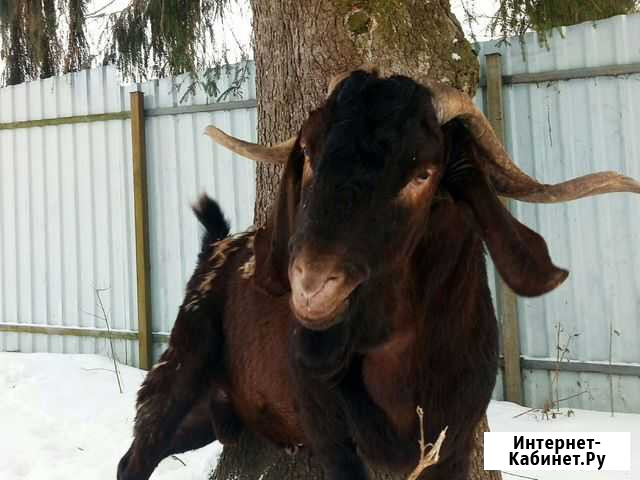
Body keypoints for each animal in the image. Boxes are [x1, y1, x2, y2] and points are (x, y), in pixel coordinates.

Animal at [116, 68, 640, 480]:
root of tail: (215, 250)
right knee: (135, 457)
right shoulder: (333, 438)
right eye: (310, 154)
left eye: (423, 174)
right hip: (179, 369)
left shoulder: (452, 442)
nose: (311, 286)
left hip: (205, 418)